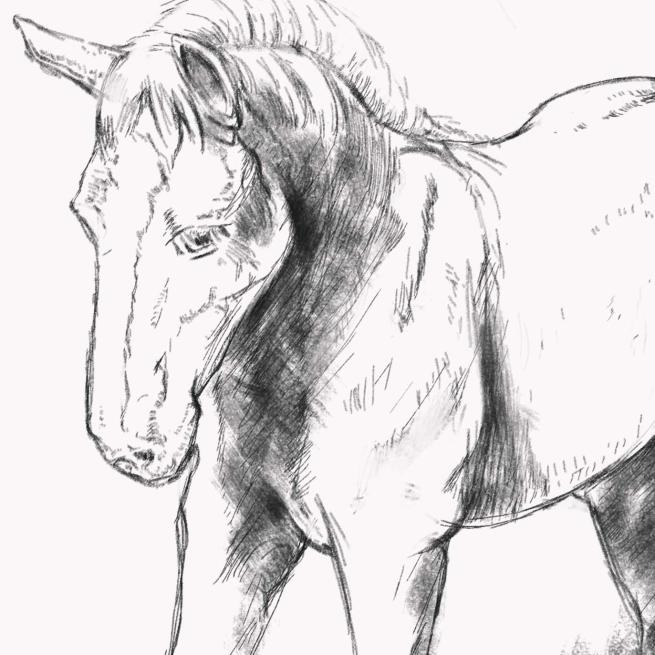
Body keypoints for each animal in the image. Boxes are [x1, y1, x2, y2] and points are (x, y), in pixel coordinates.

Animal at [13, 0, 655, 652]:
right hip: (624, 484)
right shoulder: (234, 540)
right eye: (87, 216)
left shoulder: (395, 559)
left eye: (200, 236)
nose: (129, 444)